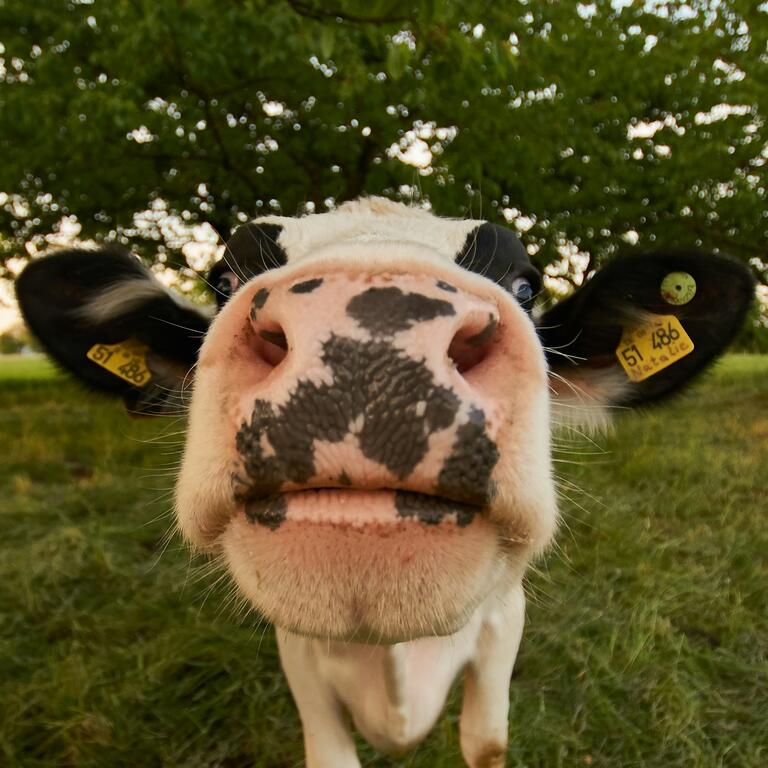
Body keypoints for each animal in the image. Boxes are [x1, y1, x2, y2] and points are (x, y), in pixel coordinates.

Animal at [16, 197, 753, 767]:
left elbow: (486, 743)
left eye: (525, 284)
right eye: (223, 278)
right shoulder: (299, 655)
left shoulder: (504, 621)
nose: (369, 336)